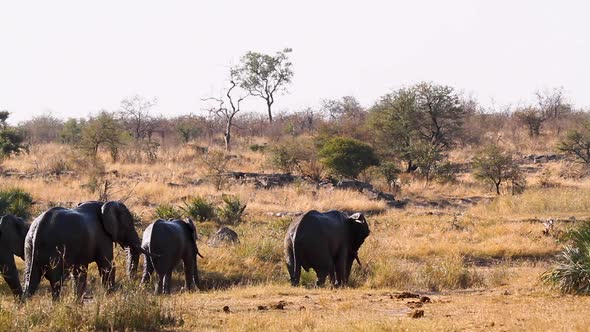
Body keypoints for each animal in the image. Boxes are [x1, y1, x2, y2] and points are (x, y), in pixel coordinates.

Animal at [22, 201, 153, 300]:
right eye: (128, 226)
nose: (132, 284)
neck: (104, 205)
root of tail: (38, 227)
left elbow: (79, 272)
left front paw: (77, 302)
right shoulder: (102, 237)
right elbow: (107, 266)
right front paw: (110, 297)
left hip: (28, 245)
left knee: (30, 279)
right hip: (53, 249)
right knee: (56, 281)